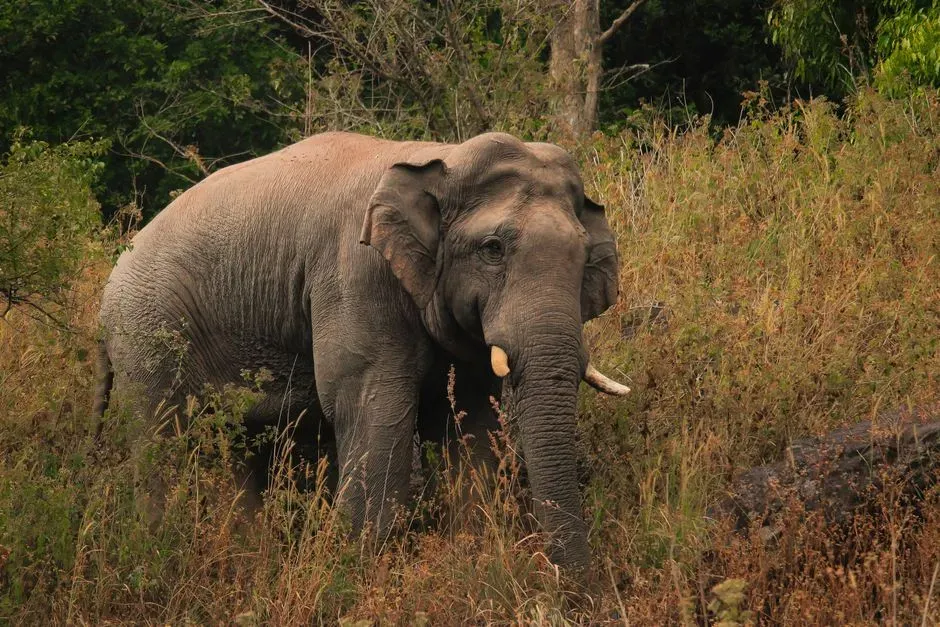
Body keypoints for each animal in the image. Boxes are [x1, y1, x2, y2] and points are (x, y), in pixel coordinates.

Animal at [94, 130, 630, 569]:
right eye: (492, 249)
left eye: (585, 255)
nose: (578, 594)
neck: (440, 156)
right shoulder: (356, 277)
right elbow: (374, 409)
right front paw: (357, 571)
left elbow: (470, 419)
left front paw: (473, 558)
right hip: (146, 330)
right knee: (163, 440)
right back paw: (162, 555)